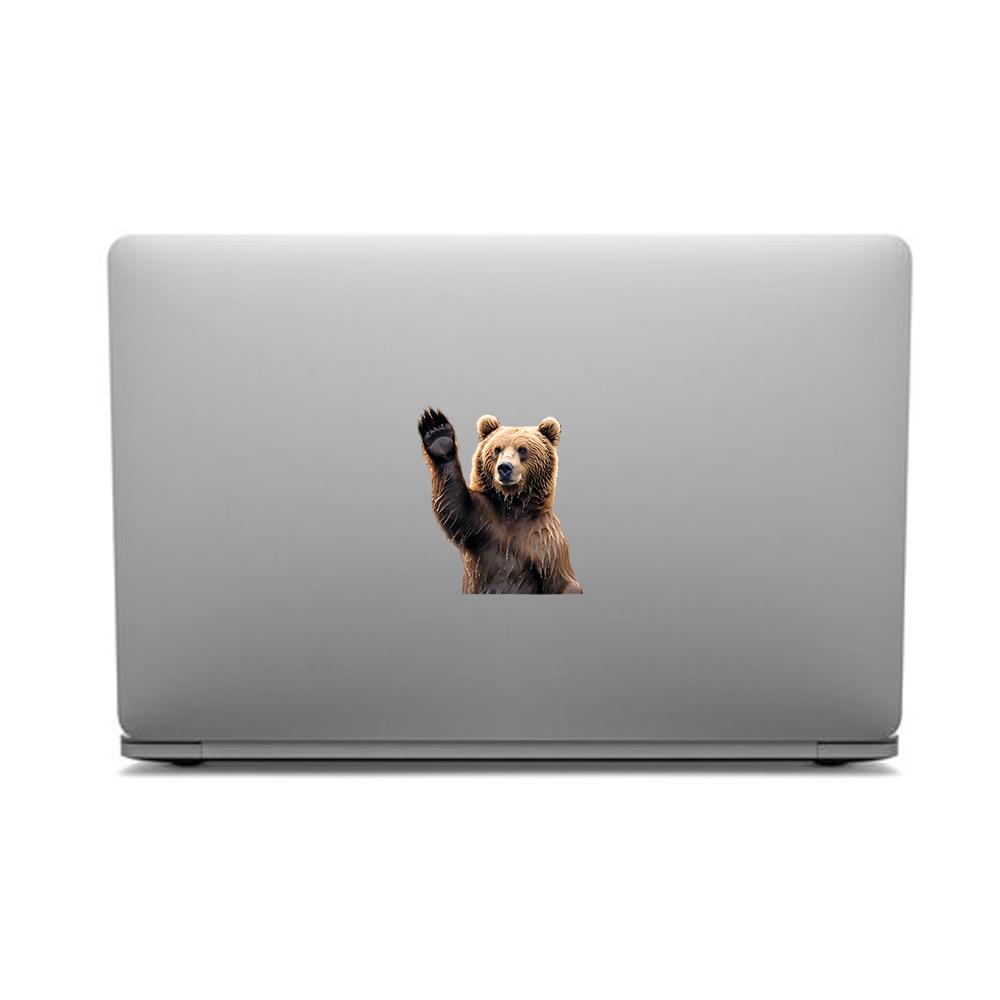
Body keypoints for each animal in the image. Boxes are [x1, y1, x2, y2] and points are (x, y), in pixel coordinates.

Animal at [418, 408, 582, 594]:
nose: (504, 467)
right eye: (497, 449)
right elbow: (455, 509)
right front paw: (437, 433)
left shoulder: (543, 541)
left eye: (522, 449)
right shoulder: (485, 524)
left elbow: (561, 583)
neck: (512, 506)